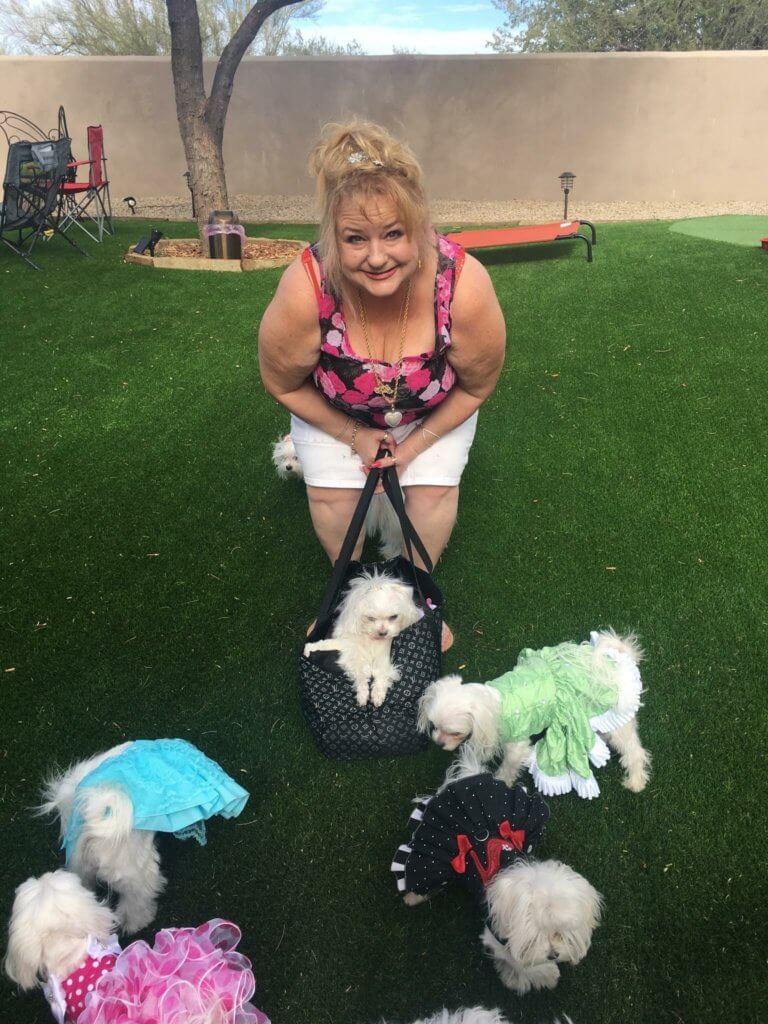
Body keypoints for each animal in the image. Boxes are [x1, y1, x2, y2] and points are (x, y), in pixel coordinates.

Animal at [304, 568, 421, 706]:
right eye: (370, 618)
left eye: (393, 617)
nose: (383, 633)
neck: (372, 640)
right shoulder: (357, 657)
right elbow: (361, 675)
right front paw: (363, 694)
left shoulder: (383, 658)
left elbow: (381, 674)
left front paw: (377, 695)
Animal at [393, 752, 602, 995]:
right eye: (534, 935)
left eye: (559, 931)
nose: (553, 955)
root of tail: (469, 778)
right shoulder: (496, 936)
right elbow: (518, 961)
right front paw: (540, 974)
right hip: (433, 851)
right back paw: (413, 896)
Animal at [418, 630, 650, 799]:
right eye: (434, 726)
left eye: (454, 732)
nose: (437, 742)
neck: (494, 705)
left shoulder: (516, 746)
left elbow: (507, 769)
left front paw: (499, 785)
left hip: (615, 720)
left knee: (635, 751)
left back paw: (636, 781)